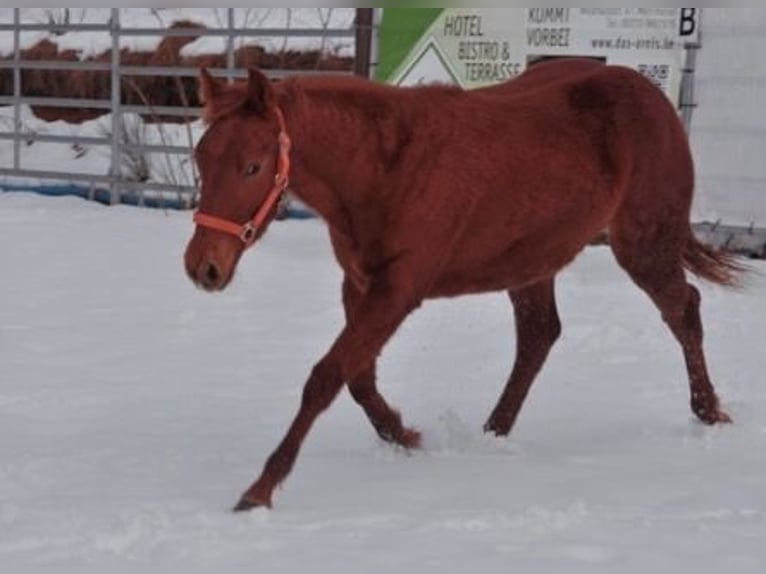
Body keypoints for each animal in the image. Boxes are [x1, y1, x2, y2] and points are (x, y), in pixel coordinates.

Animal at [184, 59, 743, 511]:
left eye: (253, 166)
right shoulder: (359, 285)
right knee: (539, 336)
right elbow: (358, 378)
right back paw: (494, 432)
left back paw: (709, 412)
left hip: (644, 245)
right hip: (532, 261)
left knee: (683, 311)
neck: (383, 169)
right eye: (200, 159)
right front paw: (405, 435)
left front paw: (260, 489)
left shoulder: (398, 290)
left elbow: (326, 376)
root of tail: (653, 96)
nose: (202, 267)